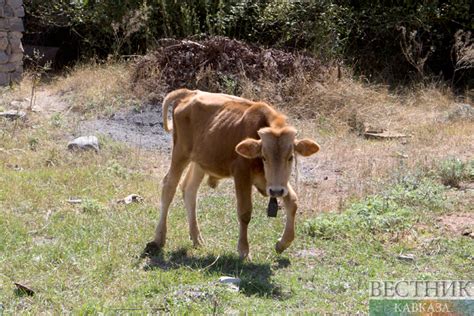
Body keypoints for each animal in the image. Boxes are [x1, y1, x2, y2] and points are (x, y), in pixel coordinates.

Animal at [148, 89, 318, 260]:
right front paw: (244, 251)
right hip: (180, 153)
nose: (276, 191)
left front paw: (282, 243)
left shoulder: (275, 181)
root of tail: (189, 93)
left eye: (290, 157)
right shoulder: (241, 173)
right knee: (169, 187)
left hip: (200, 161)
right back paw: (159, 237)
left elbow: (293, 202)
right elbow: (245, 211)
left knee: (189, 190)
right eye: (264, 157)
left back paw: (197, 239)